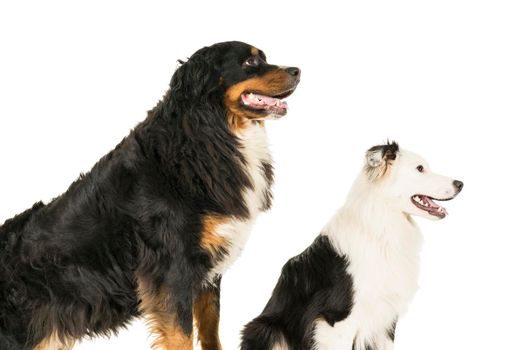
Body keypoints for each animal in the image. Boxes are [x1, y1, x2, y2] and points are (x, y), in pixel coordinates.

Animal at [0, 41, 298, 350]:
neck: (206, 136)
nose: (297, 71)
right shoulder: (173, 269)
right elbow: (181, 335)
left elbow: (210, 329)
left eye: (263, 58)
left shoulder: (208, 269)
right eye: (250, 62)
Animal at [239, 142, 460, 350]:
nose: (460, 183)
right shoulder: (337, 320)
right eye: (420, 168)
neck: (382, 226)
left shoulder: (386, 319)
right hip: (267, 328)